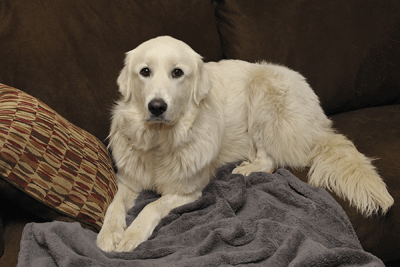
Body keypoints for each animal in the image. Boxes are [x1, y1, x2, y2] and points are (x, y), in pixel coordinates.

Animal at [97, 36, 394, 253]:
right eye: (145, 72)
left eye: (177, 72)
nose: (157, 107)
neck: (160, 141)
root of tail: (320, 122)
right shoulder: (128, 180)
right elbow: (114, 204)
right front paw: (109, 234)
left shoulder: (187, 191)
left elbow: (151, 206)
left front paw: (132, 234)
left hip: (262, 97)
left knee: (271, 160)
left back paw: (247, 170)